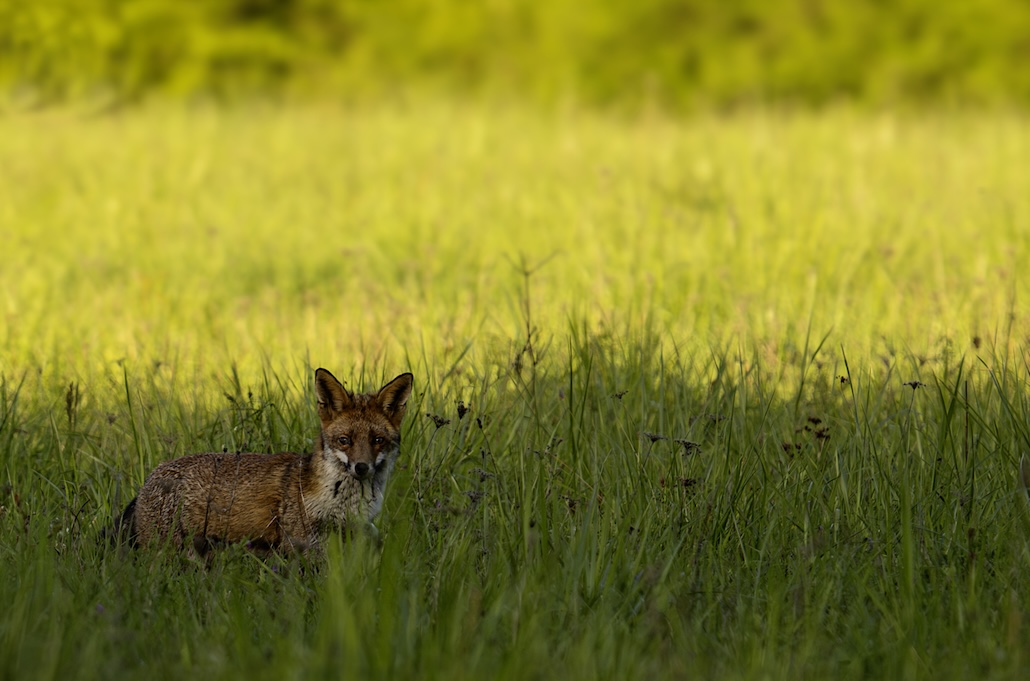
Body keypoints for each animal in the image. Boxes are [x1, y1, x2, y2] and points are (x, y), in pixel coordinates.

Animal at [113, 368, 413, 555]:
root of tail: (147, 481)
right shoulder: (302, 543)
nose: (361, 467)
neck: (343, 501)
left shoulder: (358, 531)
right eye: (344, 440)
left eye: (377, 440)